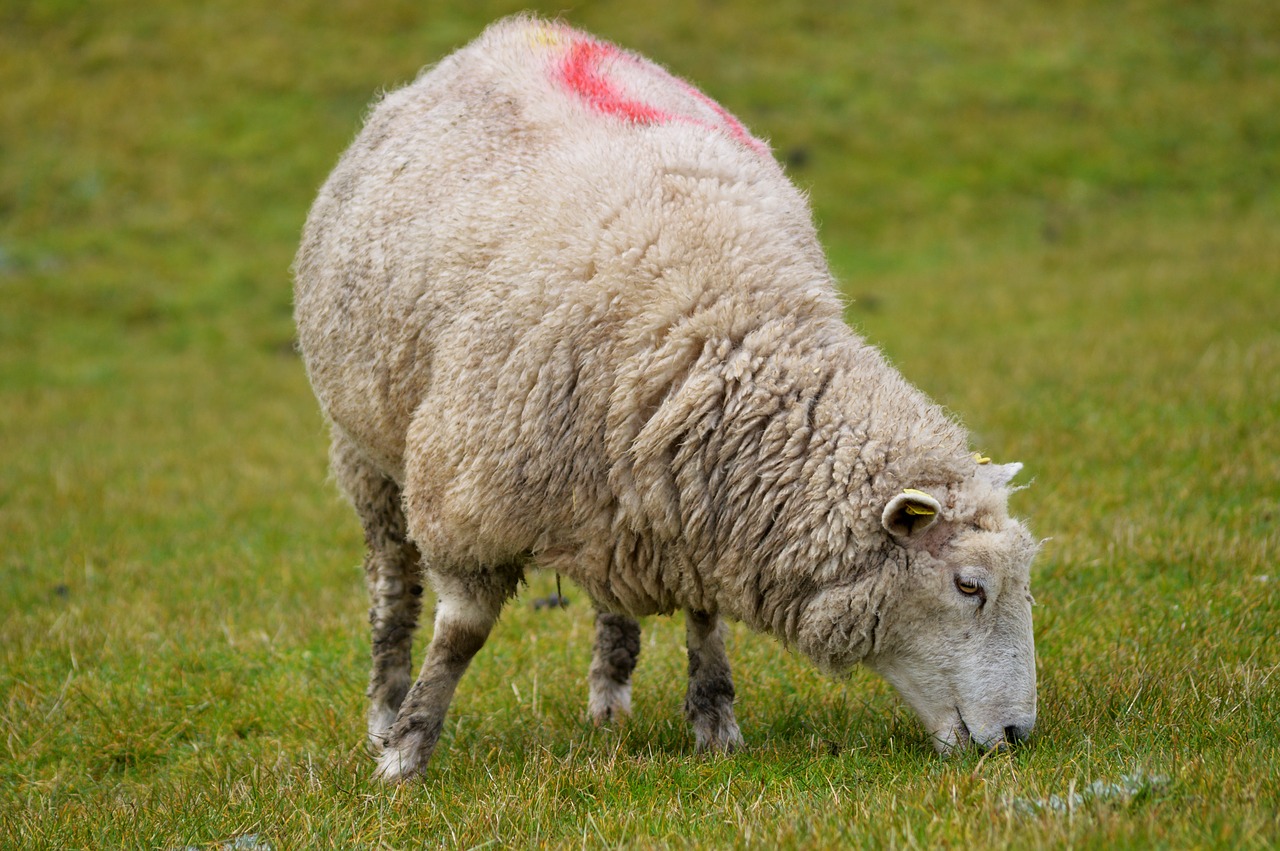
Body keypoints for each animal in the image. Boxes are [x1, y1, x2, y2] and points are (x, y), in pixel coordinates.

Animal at [293, 14, 1039, 783]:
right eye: (969, 585)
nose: (1018, 735)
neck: (722, 318)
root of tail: (521, 29)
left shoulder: (698, 500)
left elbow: (705, 617)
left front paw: (715, 723)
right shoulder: (467, 501)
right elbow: (459, 637)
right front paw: (406, 753)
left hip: (614, 494)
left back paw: (609, 702)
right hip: (363, 449)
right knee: (392, 585)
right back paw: (385, 708)